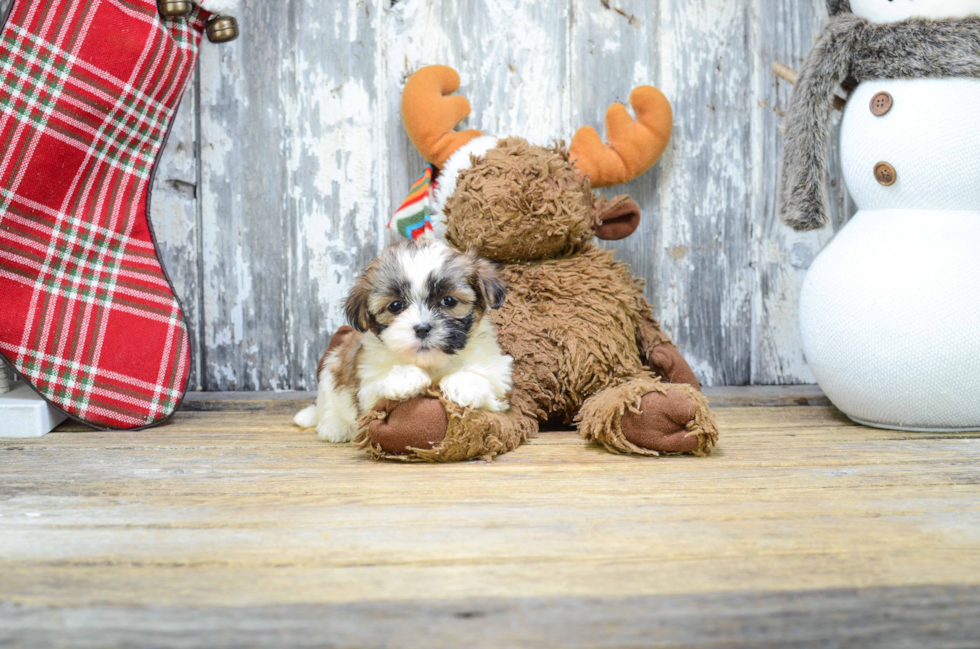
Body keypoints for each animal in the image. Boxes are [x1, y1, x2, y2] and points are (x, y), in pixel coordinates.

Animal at [294, 240, 512, 442]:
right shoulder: (367, 383)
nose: (422, 328)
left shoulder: (499, 378)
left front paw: (463, 384)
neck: (431, 364)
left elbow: (488, 379)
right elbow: (375, 390)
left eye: (448, 301)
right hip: (331, 370)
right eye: (395, 305)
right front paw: (405, 377)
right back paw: (336, 426)